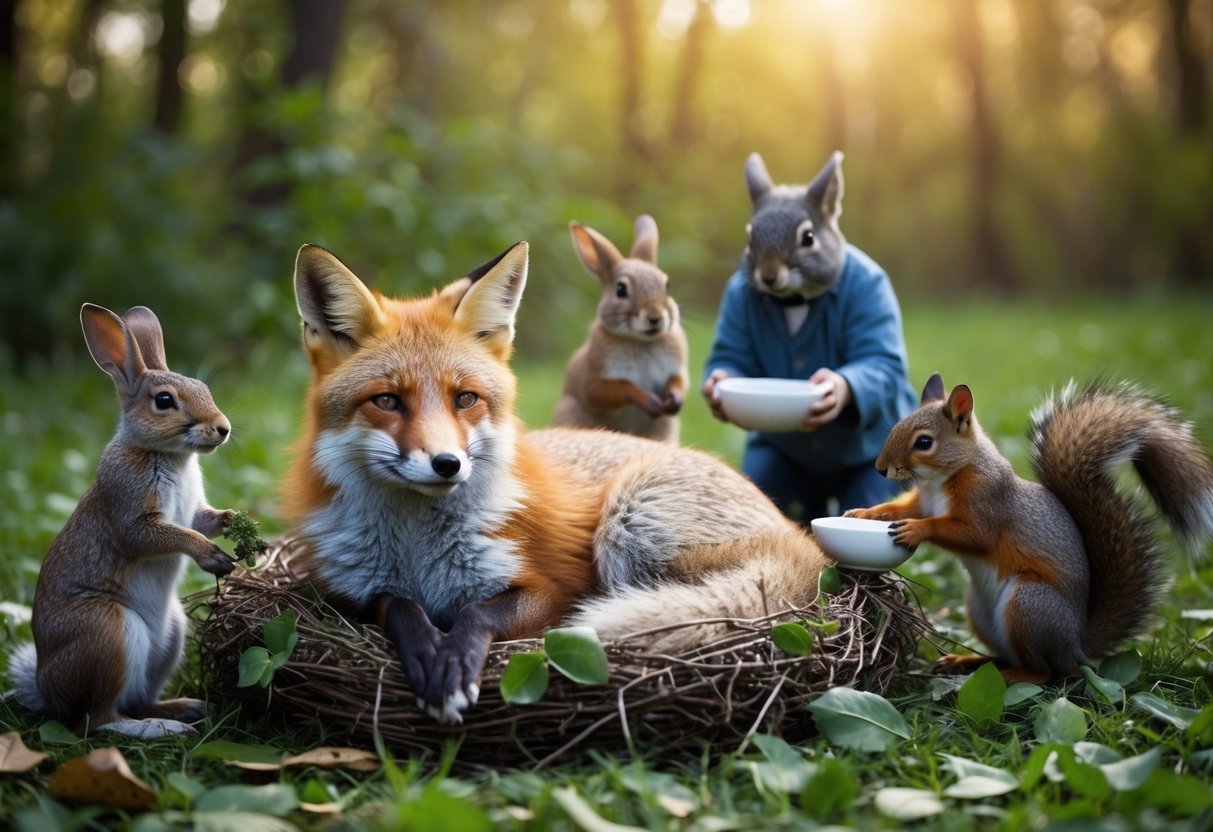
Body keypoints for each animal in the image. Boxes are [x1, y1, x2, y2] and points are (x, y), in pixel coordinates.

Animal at [8, 304, 237, 739]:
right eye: (164, 401)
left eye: (204, 387)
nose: (223, 428)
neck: (167, 455)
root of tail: (47, 690)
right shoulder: (131, 509)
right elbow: (155, 535)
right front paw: (213, 557)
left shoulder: (192, 511)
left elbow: (202, 520)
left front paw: (235, 522)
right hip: (108, 633)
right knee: (98, 720)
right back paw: (159, 728)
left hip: (171, 636)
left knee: (135, 700)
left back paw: (184, 708)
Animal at [283, 242, 830, 723]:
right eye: (387, 401)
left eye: (465, 399)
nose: (447, 464)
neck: (419, 555)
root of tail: (801, 539)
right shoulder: (352, 594)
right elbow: (399, 608)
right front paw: (425, 652)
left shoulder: (551, 590)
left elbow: (475, 614)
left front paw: (455, 661)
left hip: (628, 522)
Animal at [552, 214, 689, 444]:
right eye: (621, 289)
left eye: (666, 285)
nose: (654, 317)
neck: (640, 340)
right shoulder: (594, 378)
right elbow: (610, 390)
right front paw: (649, 401)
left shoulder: (676, 369)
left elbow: (679, 382)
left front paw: (674, 400)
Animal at [845, 372, 1213, 683]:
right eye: (895, 426)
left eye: (924, 443)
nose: (880, 468)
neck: (941, 480)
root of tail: (1076, 644)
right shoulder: (923, 501)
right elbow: (903, 508)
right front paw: (864, 513)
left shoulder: (988, 502)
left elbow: (972, 534)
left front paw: (915, 531)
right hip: (980, 609)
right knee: (1008, 656)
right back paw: (967, 662)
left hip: (1029, 604)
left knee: (1047, 672)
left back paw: (1016, 677)